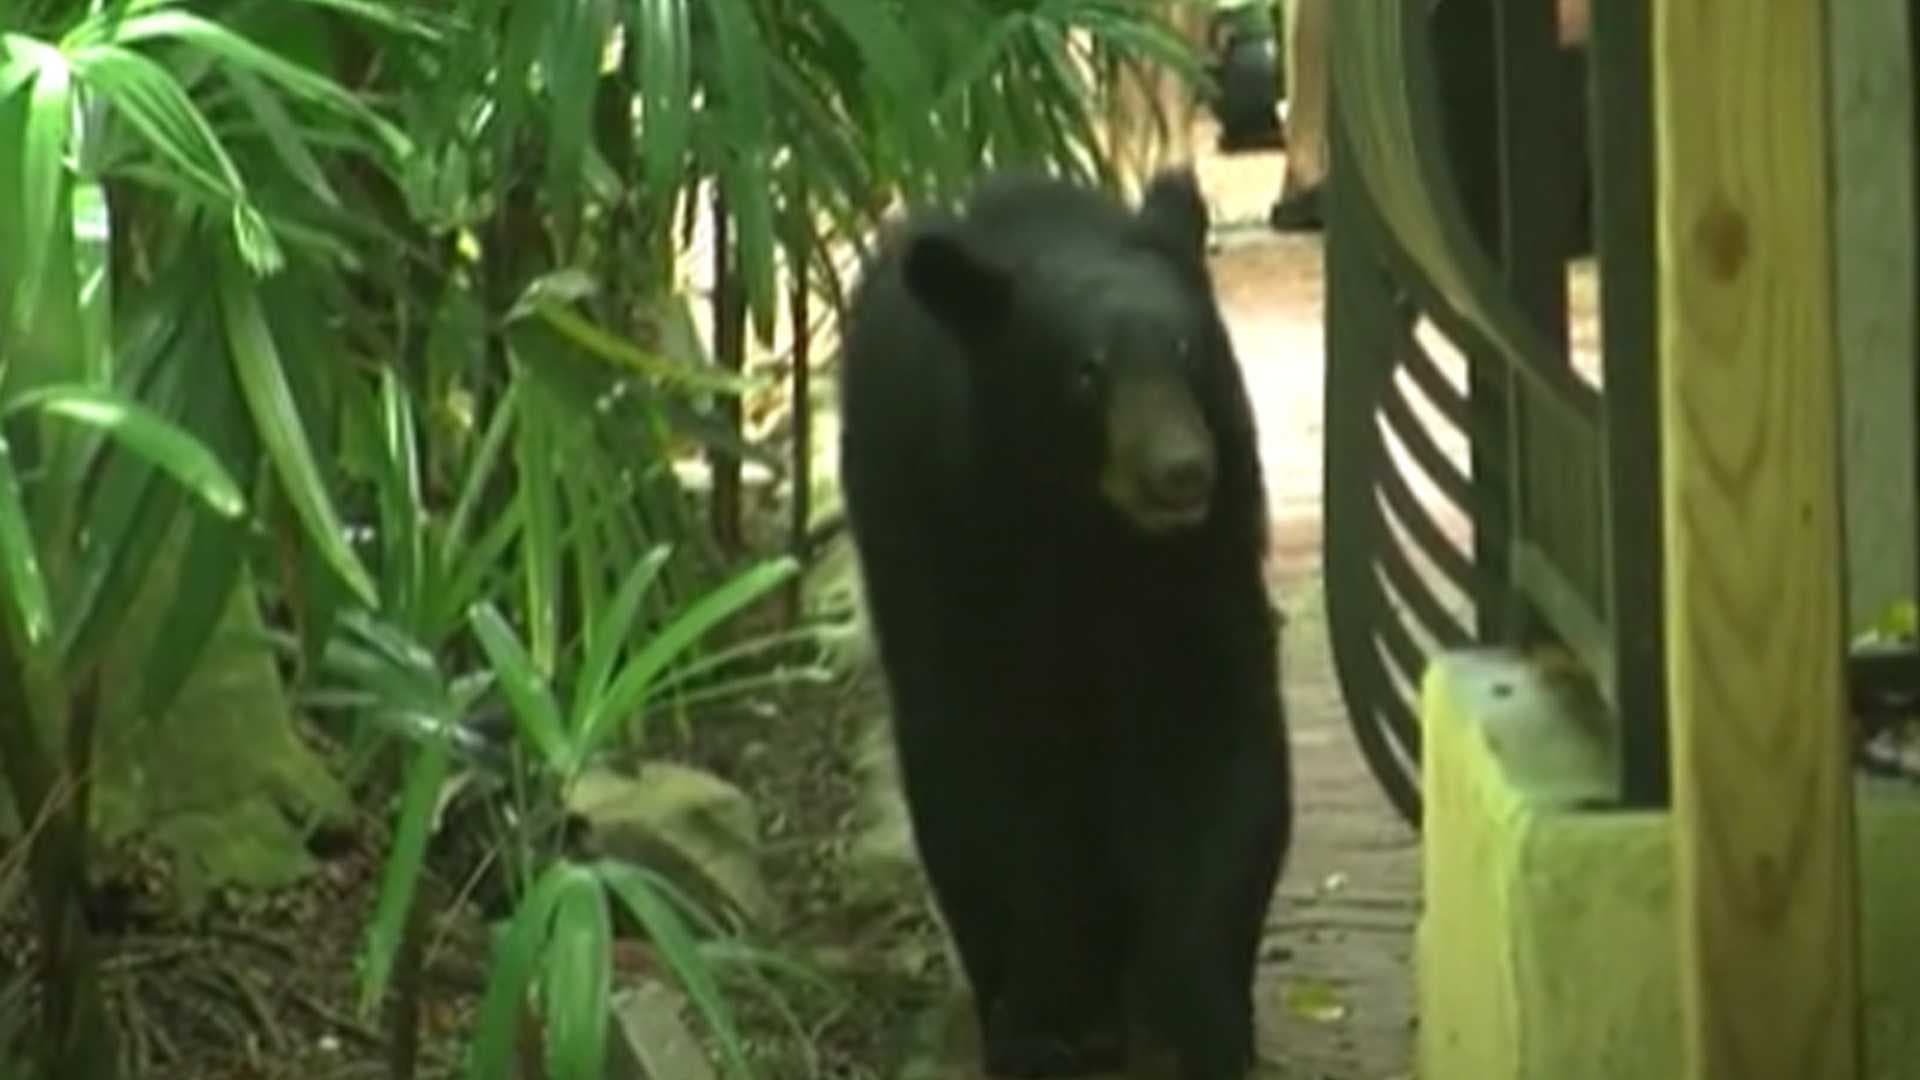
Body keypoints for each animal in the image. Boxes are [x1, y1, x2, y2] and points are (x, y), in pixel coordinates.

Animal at [836, 167, 1293, 1080]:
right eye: (1087, 373)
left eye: (1186, 351)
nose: (1182, 472)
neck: (1086, 528)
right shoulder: (948, 534)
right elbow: (982, 772)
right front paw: (1048, 1021)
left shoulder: (1208, 554)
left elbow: (1218, 737)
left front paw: (1195, 1013)